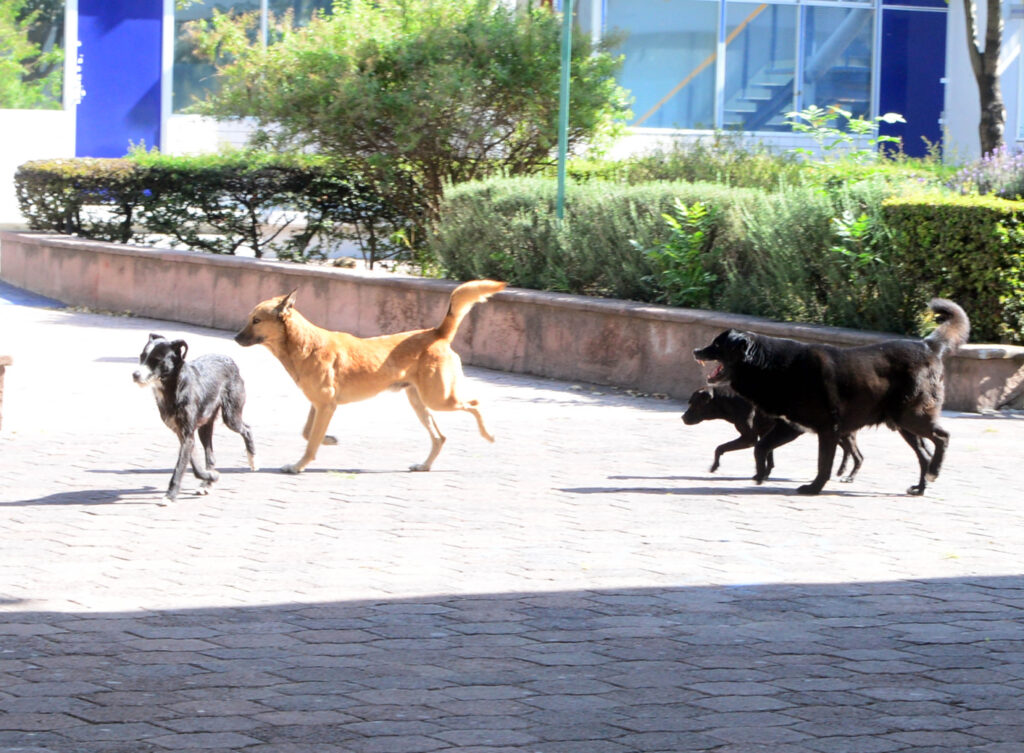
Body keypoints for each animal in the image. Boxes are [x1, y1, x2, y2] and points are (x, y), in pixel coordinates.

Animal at [232, 280, 503, 473]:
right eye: (250, 319)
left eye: (256, 320)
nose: (235, 338)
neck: (305, 345)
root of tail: (437, 333)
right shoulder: (318, 404)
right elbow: (308, 433)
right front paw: (329, 439)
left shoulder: (326, 405)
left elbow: (310, 443)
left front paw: (299, 466)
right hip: (418, 401)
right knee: (439, 437)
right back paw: (424, 465)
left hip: (440, 398)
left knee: (475, 404)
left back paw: (489, 435)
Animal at [679, 389, 864, 483]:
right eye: (689, 402)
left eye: (695, 404)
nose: (683, 418)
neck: (731, 401)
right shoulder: (765, 434)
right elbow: (769, 456)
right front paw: (765, 473)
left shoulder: (749, 439)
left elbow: (719, 448)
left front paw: (714, 466)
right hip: (837, 435)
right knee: (848, 451)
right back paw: (842, 470)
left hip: (842, 435)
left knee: (858, 456)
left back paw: (850, 477)